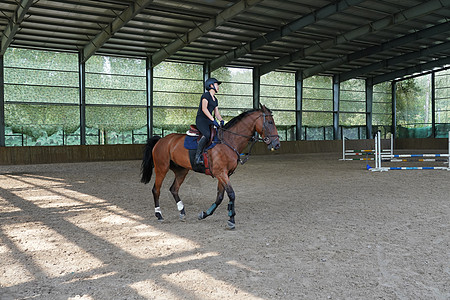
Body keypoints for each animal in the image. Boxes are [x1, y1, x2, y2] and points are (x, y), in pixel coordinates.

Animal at [141, 104, 282, 229]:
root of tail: (161, 140)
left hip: (181, 171)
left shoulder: (225, 174)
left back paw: (182, 212)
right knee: (156, 190)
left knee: (174, 189)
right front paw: (231, 220)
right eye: (270, 122)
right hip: (161, 168)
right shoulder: (221, 173)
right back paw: (159, 215)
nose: (277, 144)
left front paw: (205, 214)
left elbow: (220, 197)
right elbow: (231, 194)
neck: (229, 141)